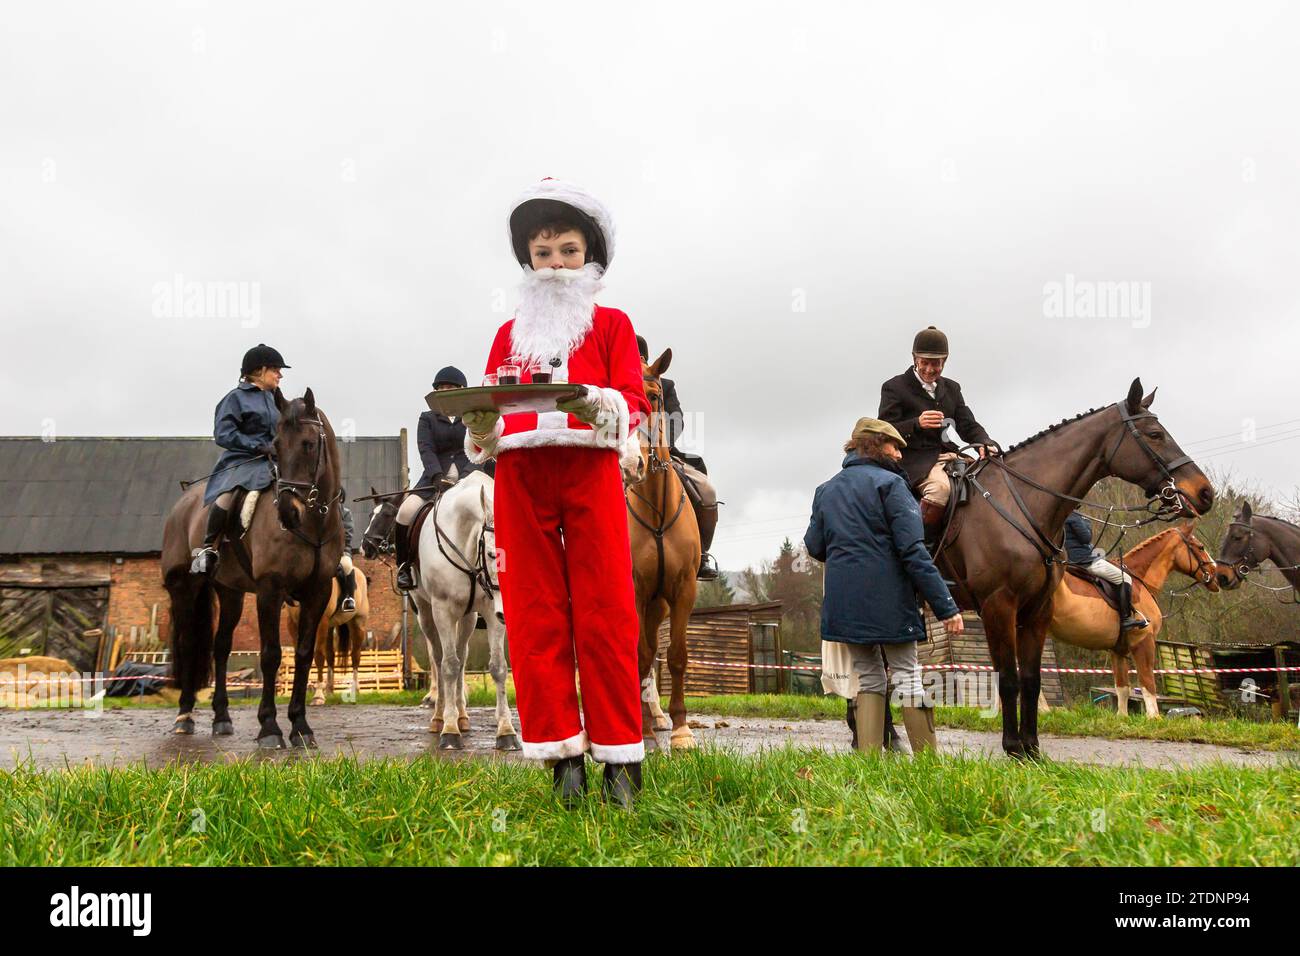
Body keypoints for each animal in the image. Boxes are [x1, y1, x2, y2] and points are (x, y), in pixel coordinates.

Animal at [160, 390, 345, 749]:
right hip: (184, 590)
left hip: (229, 592)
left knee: (220, 647)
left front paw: (300, 726)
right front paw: (269, 727)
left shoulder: (318, 592)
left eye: (308, 444)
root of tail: (182, 504)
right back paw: (185, 715)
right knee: (188, 645)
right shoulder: (269, 590)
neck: (313, 525)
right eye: (275, 445)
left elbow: (303, 653)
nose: (288, 512)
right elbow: (271, 654)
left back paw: (221, 717)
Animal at [283, 572, 366, 707]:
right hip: (329, 627)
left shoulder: (321, 621)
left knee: (355, 656)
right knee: (330, 656)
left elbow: (319, 656)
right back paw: (329, 690)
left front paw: (318, 696)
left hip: (357, 623)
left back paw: (355, 689)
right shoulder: (293, 623)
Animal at [1045, 522, 1216, 717]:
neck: (1139, 580)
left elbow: (1123, 688)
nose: (1216, 574)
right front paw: (1154, 717)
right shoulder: (1143, 641)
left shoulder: (1118, 650)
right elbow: (1148, 684)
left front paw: (1122, 717)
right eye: (1201, 547)